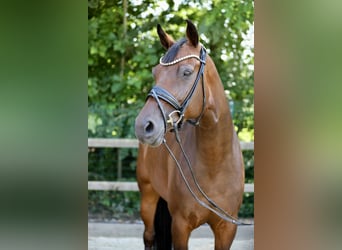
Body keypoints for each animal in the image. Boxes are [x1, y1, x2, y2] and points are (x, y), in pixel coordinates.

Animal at [135, 20, 244, 249]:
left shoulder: (227, 229)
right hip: (148, 197)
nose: (143, 125)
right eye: (155, 72)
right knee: (149, 236)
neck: (215, 164)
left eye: (186, 72)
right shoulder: (180, 226)